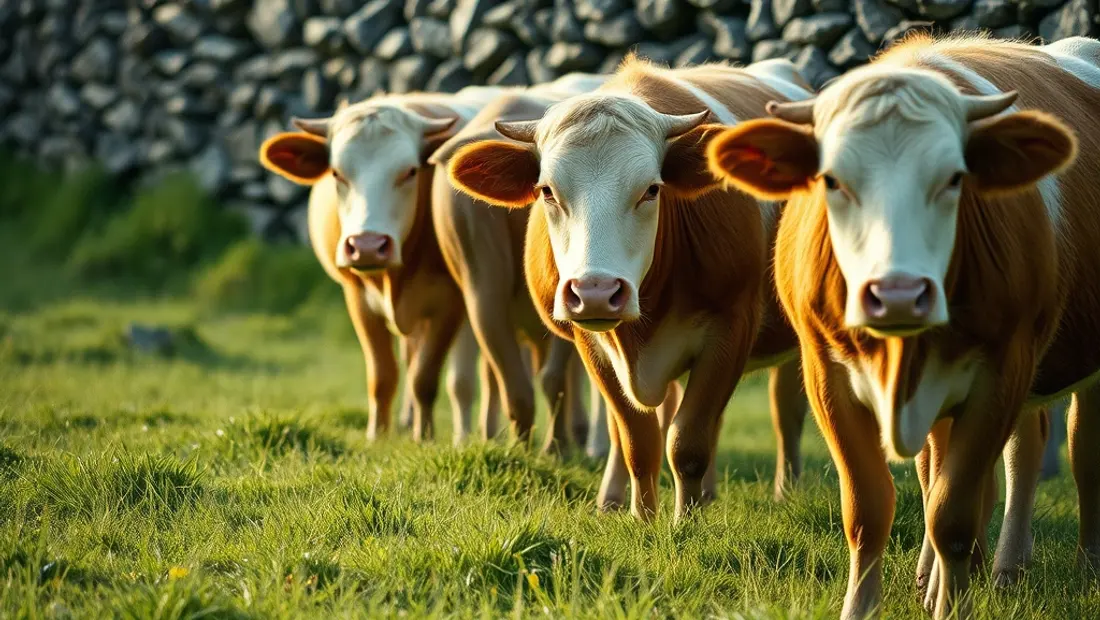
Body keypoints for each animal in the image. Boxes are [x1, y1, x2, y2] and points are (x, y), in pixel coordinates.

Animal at [259, 88, 509, 444]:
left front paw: (424, 437)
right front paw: (377, 435)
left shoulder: (449, 304)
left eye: (410, 171)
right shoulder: (357, 297)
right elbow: (383, 375)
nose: (367, 246)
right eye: (337, 173)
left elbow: (425, 377)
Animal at [706, 33, 1100, 619]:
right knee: (1012, 452)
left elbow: (952, 514)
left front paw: (950, 605)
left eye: (955, 178)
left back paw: (1083, 568)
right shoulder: (826, 375)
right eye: (831, 180)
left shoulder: (1002, 371)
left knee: (1081, 453)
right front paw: (865, 606)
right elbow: (869, 510)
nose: (896, 294)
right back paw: (998, 569)